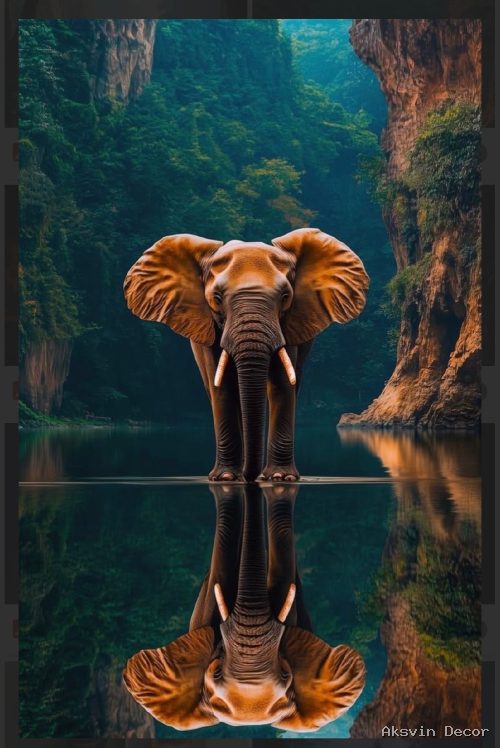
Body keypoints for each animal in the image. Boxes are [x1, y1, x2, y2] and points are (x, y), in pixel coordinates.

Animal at [124, 227, 369, 481]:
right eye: (217, 298)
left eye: (285, 297)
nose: (252, 477)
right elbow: (222, 387)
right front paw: (226, 477)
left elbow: (282, 383)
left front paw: (280, 477)